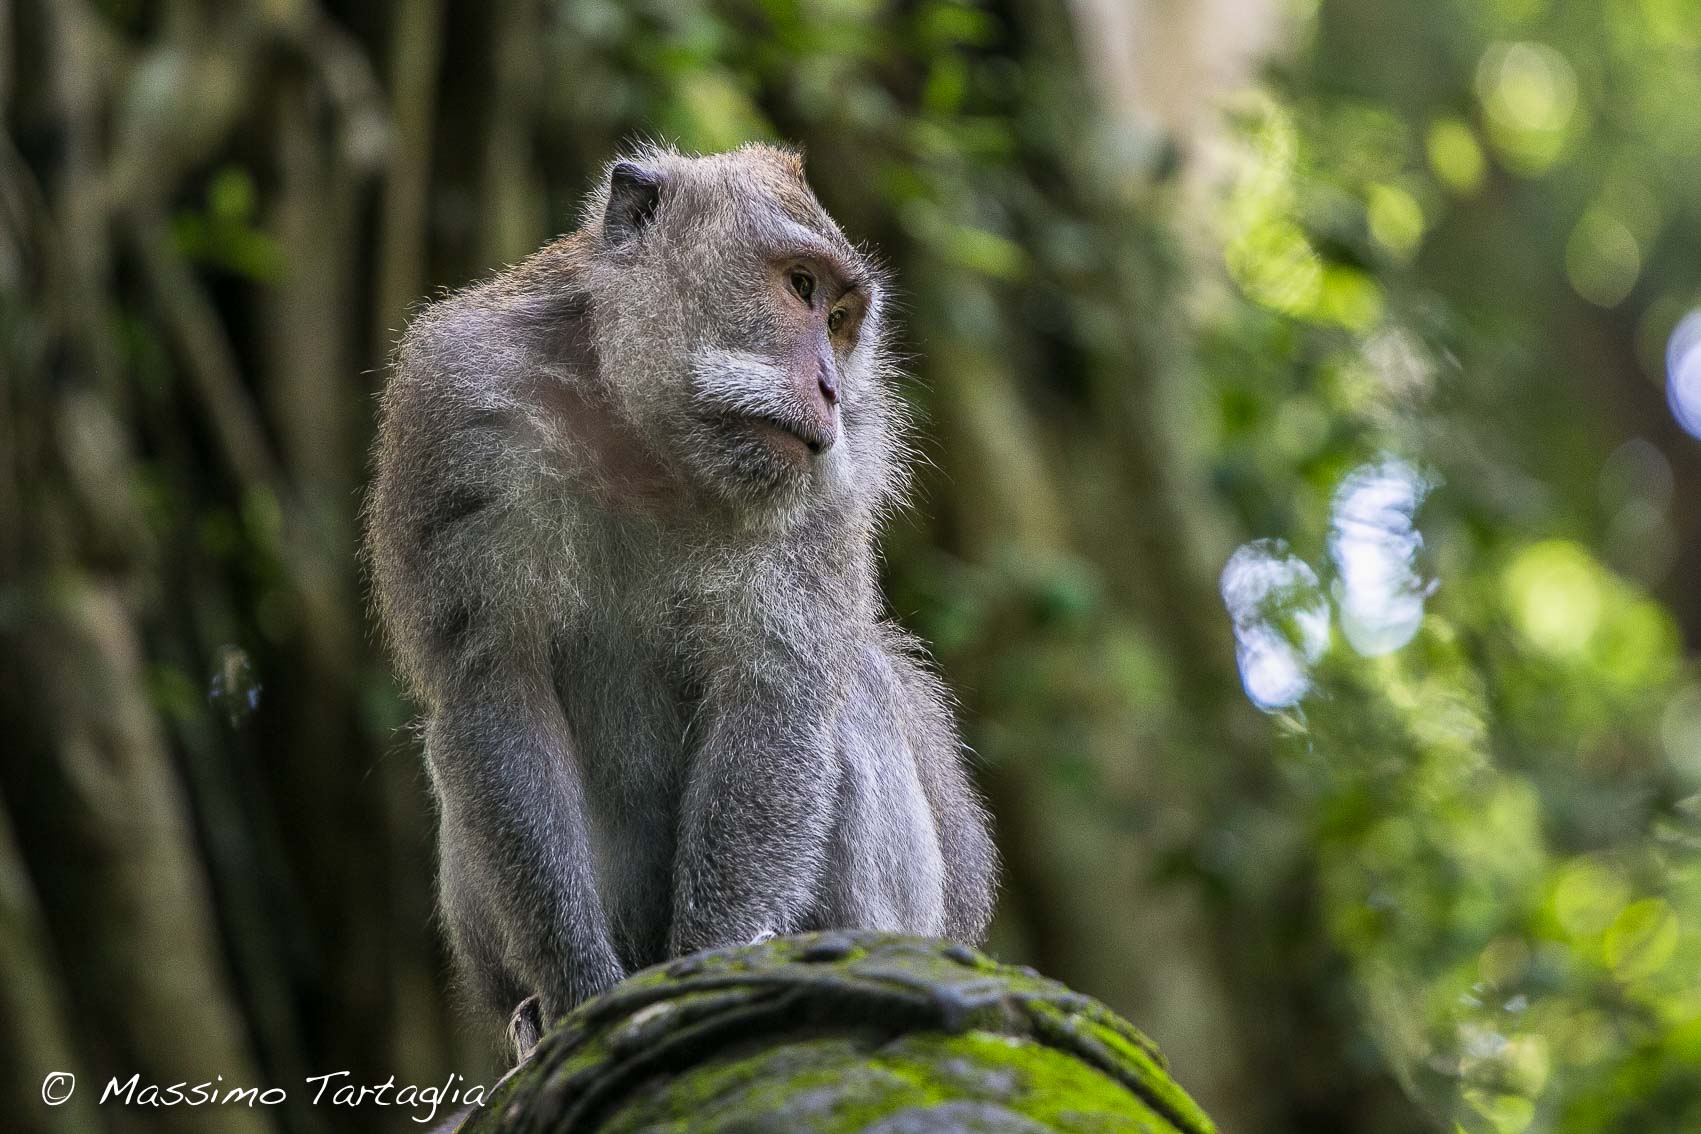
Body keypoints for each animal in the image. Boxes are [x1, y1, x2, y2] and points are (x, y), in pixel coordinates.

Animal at [363, 143, 998, 1051]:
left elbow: (776, 695)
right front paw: (579, 992)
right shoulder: (460, 407)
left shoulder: (834, 483)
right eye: (800, 287)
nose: (832, 389)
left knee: (856, 687)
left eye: (841, 319)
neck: (650, 440)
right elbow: (492, 684)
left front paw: (705, 972)